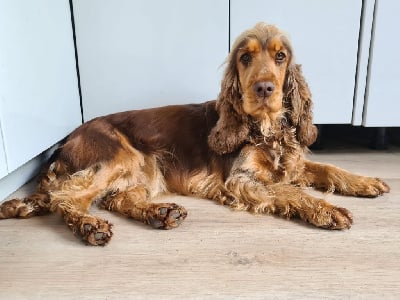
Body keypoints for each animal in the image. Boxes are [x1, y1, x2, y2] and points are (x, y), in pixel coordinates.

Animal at [0, 22, 388, 245]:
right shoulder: (241, 180)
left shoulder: (289, 164)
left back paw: (160, 213)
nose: (264, 88)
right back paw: (89, 226)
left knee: (116, 199)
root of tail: (64, 142)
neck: (264, 129)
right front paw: (327, 210)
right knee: (65, 197)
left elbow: (327, 169)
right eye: (245, 58)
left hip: (144, 167)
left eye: (280, 57)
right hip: (121, 154)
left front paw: (366, 182)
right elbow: (288, 191)